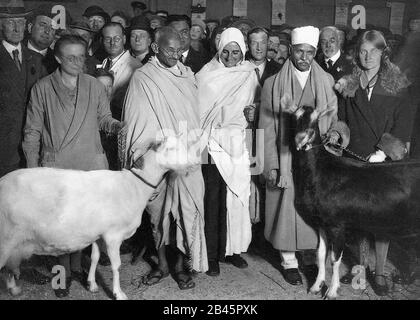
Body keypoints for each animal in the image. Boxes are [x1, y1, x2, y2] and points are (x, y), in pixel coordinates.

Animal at [0, 136, 197, 300]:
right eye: (171, 148)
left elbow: (94, 258)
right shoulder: (113, 235)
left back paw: (14, 289)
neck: (133, 186)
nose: (195, 161)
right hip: (6, 239)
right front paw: (118, 293)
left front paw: (92, 284)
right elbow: (116, 265)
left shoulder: (97, 234)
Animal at [288, 106, 420, 298]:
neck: (319, 170)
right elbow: (321, 254)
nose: (301, 138)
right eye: (296, 116)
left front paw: (331, 291)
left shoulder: (338, 225)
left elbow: (335, 259)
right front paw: (315, 286)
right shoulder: (322, 223)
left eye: (315, 118)